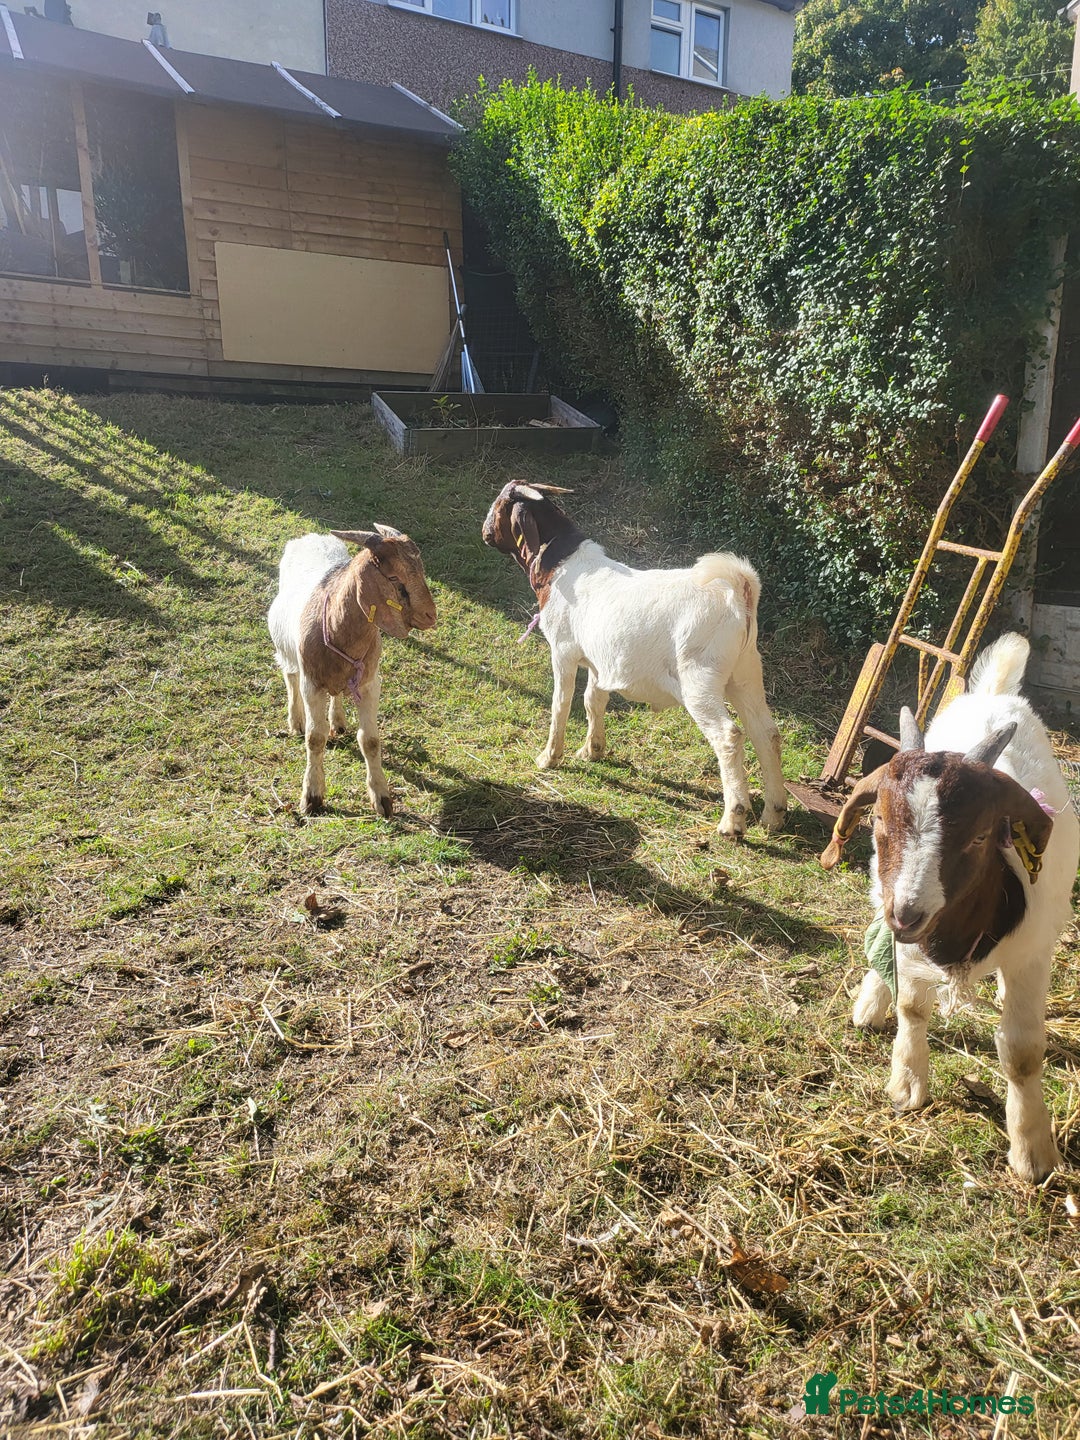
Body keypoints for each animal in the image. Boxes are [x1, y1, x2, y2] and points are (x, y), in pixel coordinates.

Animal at [267, 526, 436, 816]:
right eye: (393, 577)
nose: (430, 615)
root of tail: (310, 537)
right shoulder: (312, 684)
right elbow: (315, 737)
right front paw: (312, 797)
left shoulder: (369, 684)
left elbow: (370, 740)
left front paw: (382, 799)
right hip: (285, 647)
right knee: (290, 677)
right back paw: (296, 720)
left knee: (336, 693)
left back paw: (338, 720)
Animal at [482, 481, 787, 838]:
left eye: (500, 503)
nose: (485, 532)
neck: (561, 565)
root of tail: (738, 589)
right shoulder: (600, 661)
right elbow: (592, 701)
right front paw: (592, 750)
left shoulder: (563, 651)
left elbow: (561, 704)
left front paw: (549, 757)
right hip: (745, 672)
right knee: (766, 733)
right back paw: (774, 813)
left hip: (700, 677)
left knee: (729, 736)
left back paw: (732, 821)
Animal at [821, 633, 1079, 1182]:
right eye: (878, 816)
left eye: (982, 835)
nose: (908, 914)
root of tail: (995, 693)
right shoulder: (909, 937)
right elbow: (912, 1006)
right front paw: (906, 1082)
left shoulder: (1030, 955)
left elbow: (1022, 1052)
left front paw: (1032, 1152)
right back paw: (870, 1001)